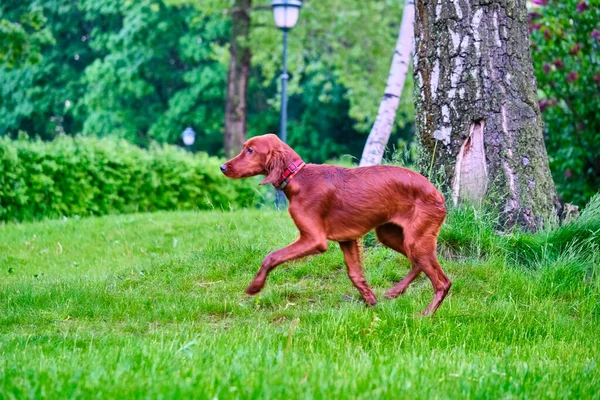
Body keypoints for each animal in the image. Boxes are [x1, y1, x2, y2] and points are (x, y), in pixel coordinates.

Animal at [220, 133, 450, 314]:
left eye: (250, 150)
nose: (222, 167)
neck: (297, 178)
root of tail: (438, 194)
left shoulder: (314, 239)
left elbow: (271, 257)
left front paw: (255, 287)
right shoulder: (347, 239)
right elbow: (355, 274)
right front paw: (371, 301)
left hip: (414, 241)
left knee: (443, 282)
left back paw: (426, 315)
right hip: (390, 235)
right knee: (417, 264)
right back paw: (395, 292)